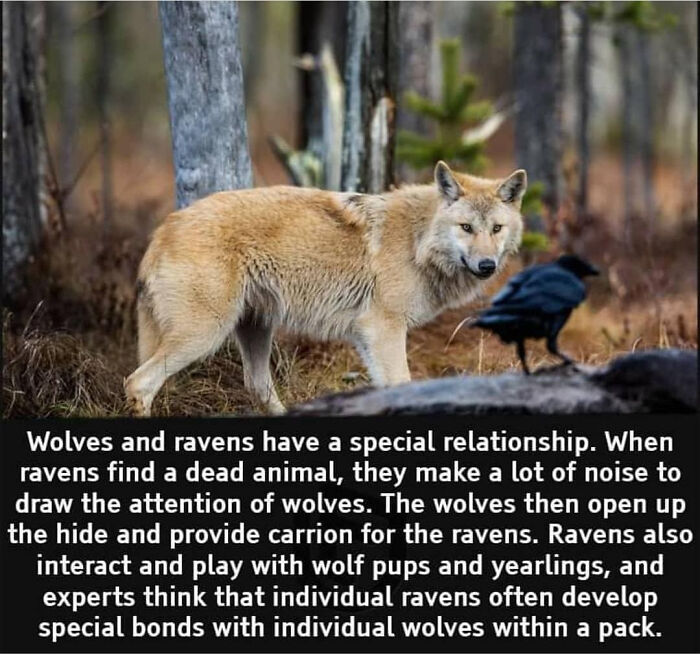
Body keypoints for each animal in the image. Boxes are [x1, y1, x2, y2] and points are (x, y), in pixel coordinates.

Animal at [125, 161, 526, 415]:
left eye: (496, 229)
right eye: (466, 228)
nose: (487, 266)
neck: (417, 241)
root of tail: (164, 228)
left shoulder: (367, 336)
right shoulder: (383, 330)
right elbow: (401, 384)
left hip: (255, 330)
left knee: (257, 387)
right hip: (204, 335)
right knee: (138, 383)